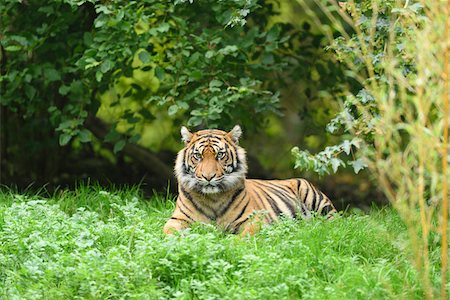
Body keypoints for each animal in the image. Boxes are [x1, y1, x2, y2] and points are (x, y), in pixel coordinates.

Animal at [163, 125, 336, 236]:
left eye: (220, 155)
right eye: (198, 156)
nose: (208, 176)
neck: (213, 198)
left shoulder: (253, 220)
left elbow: (242, 238)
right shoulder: (177, 219)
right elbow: (168, 232)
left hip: (315, 198)